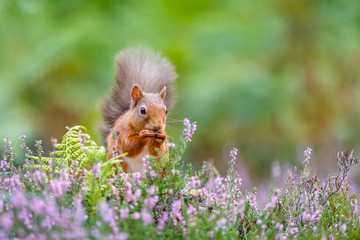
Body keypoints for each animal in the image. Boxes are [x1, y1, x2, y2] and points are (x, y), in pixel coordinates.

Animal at [100, 48, 176, 176]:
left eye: (166, 111)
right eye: (142, 110)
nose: (158, 126)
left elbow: (158, 152)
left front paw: (161, 138)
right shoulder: (124, 130)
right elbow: (128, 147)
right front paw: (142, 136)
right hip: (119, 163)